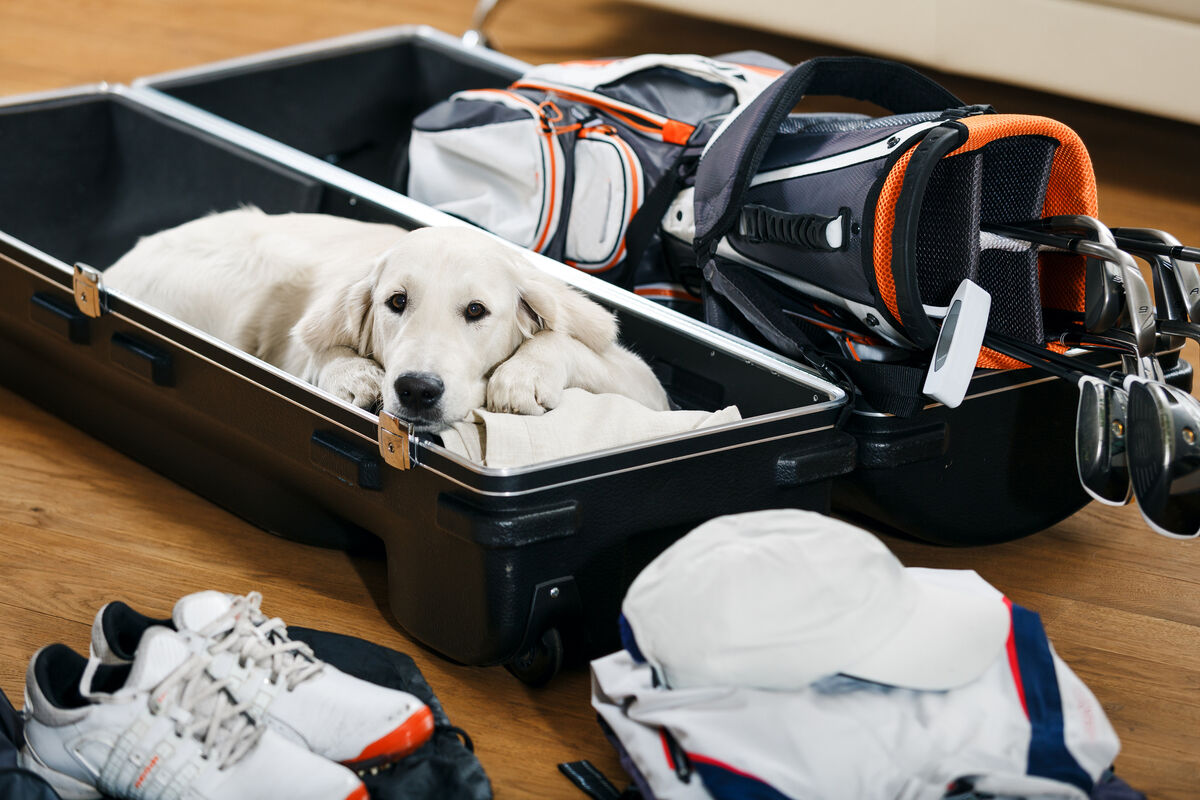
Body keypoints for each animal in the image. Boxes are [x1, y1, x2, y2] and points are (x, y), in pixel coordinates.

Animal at [104, 208, 672, 431]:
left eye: (476, 311)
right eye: (396, 302)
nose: (417, 389)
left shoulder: (646, 386)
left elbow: (570, 341)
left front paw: (523, 374)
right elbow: (319, 348)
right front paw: (353, 374)